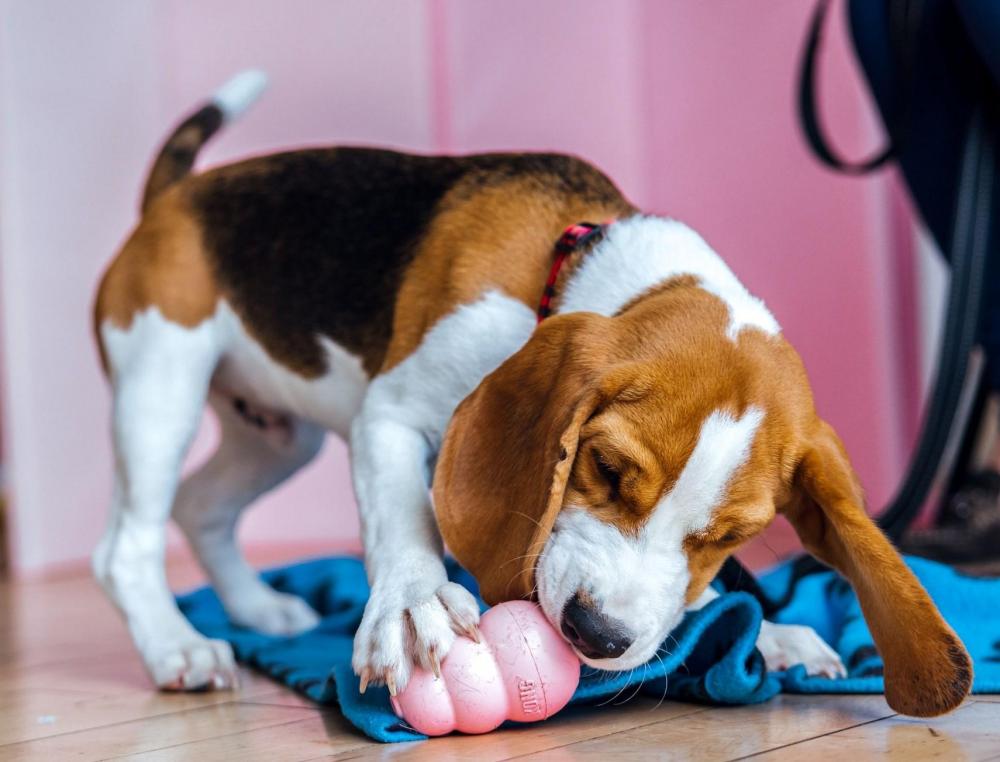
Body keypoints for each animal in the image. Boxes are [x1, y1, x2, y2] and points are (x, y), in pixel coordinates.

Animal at [94, 74, 968, 716]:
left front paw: (772, 631)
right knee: (126, 546)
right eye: (606, 469)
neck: (576, 272)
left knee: (203, 506)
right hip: (161, 385)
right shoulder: (390, 417)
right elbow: (403, 519)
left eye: (732, 536)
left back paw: (258, 612)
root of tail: (174, 198)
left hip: (276, 433)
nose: (599, 636)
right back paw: (177, 644)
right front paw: (413, 605)